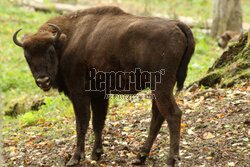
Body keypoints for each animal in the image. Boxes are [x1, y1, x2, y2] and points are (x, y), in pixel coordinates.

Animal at [12, 5, 195, 166]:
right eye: (27, 56)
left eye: (50, 52)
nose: (43, 81)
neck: (66, 40)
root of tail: (176, 24)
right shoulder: (99, 94)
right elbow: (98, 122)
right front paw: (96, 154)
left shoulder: (79, 93)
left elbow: (82, 122)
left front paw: (75, 158)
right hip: (158, 88)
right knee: (157, 116)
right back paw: (140, 157)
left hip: (161, 86)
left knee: (173, 114)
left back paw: (171, 159)